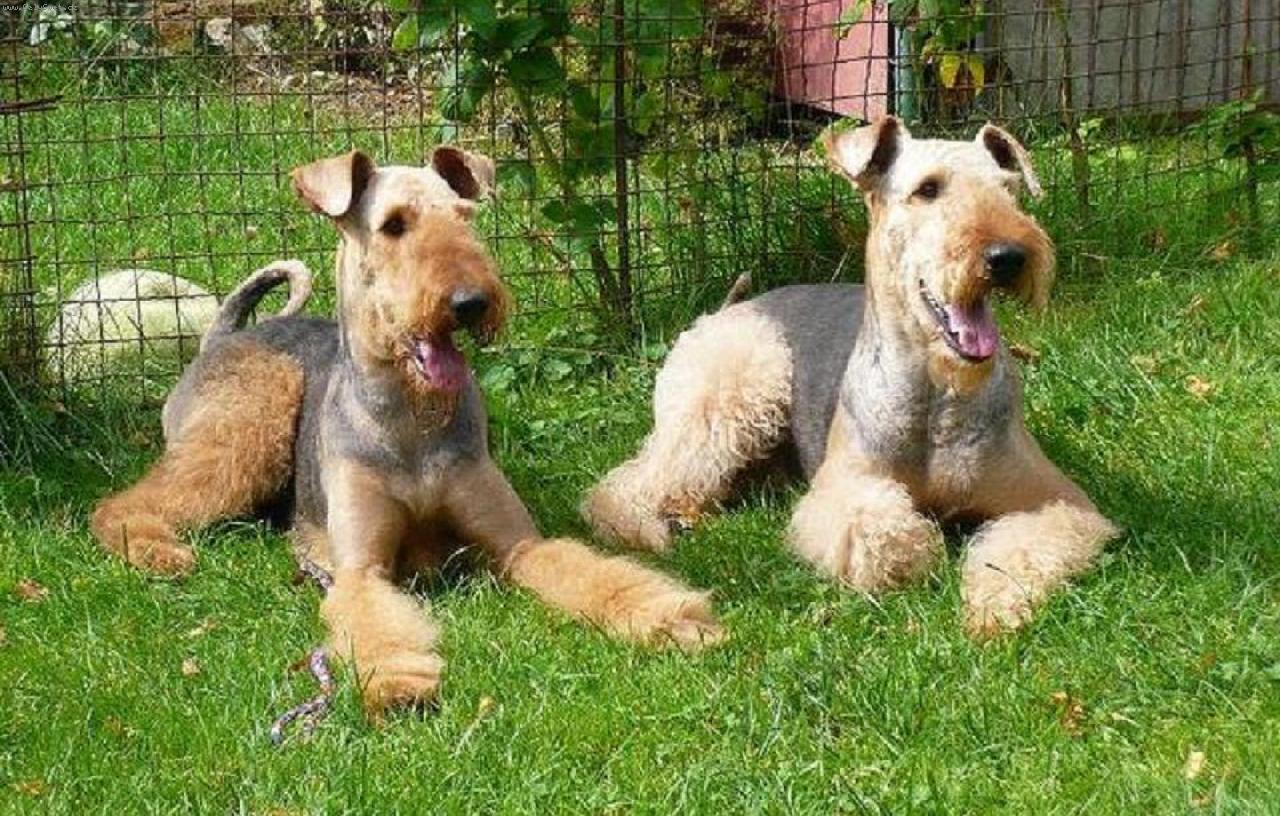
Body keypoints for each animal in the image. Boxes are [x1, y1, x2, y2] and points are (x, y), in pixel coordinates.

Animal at [91, 147, 723, 713]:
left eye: (464, 217)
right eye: (394, 224)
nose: (472, 302)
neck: (411, 422)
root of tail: (226, 334)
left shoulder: (519, 545)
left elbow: (598, 574)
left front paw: (672, 619)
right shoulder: (359, 569)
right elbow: (374, 621)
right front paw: (398, 679)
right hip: (250, 422)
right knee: (126, 502)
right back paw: (159, 552)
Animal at [582, 117, 1119, 636]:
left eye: (1008, 188)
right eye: (927, 189)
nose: (1008, 257)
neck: (937, 398)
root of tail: (728, 307)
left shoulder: (1057, 499)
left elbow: (1026, 545)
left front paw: (994, 605)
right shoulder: (839, 488)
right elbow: (879, 530)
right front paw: (922, 552)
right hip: (734, 396)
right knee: (623, 485)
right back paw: (647, 527)